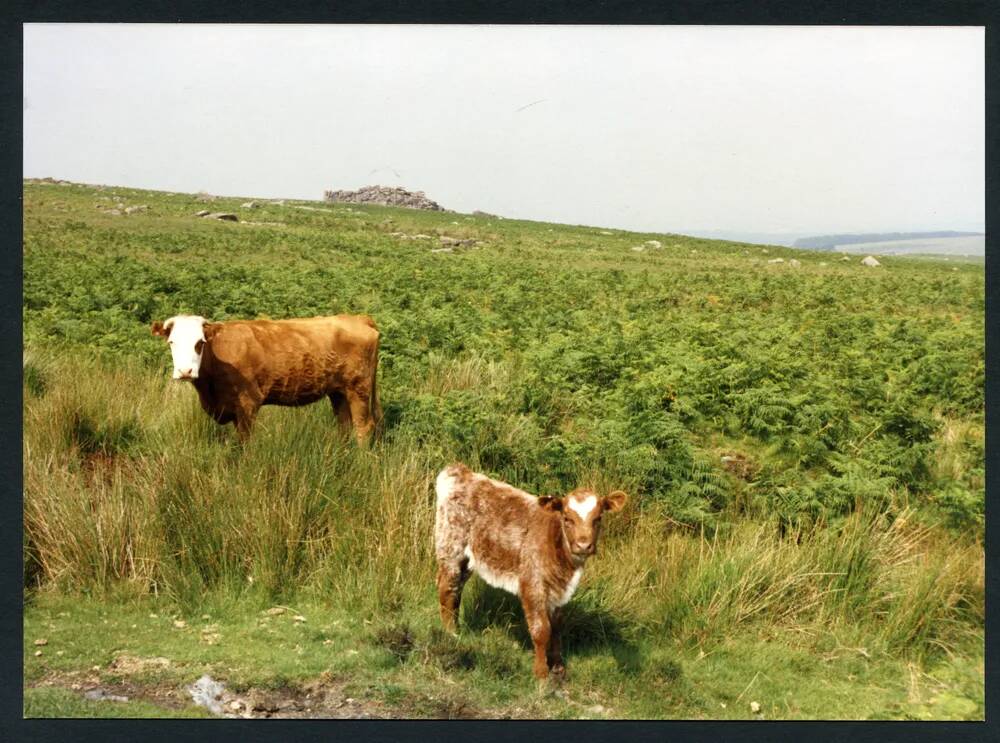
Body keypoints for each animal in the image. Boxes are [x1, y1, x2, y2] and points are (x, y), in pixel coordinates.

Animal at [150, 314, 380, 442]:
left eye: (200, 342)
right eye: (171, 342)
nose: (185, 371)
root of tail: (358, 318)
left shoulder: (248, 404)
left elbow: (246, 442)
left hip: (358, 389)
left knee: (364, 427)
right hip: (339, 392)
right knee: (345, 426)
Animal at [432, 462, 620, 684]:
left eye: (598, 519)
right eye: (567, 518)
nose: (583, 545)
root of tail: (460, 471)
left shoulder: (559, 591)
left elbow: (557, 628)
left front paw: (558, 666)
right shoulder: (532, 583)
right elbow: (541, 630)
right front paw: (541, 673)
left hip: (468, 559)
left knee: (456, 589)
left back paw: (456, 628)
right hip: (450, 546)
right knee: (447, 587)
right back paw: (451, 633)